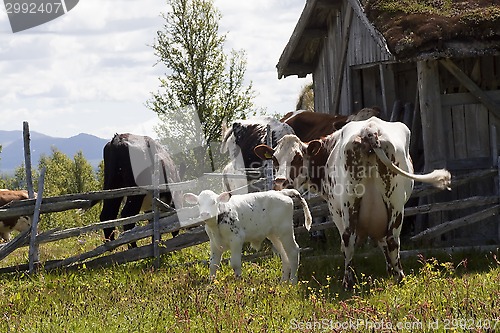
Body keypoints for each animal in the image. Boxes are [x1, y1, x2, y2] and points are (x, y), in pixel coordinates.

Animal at [184, 189, 312, 282]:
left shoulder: (237, 239)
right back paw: (283, 282)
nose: (204, 214)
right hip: (274, 234)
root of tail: (281, 192)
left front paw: (238, 282)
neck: (216, 225)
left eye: (213, 202)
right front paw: (211, 284)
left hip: (285, 230)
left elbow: (235, 263)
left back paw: (292, 282)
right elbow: (213, 264)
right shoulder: (214, 243)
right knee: (284, 254)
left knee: (293, 252)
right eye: (198, 203)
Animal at [256, 116, 452, 288]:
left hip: (351, 204)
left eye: (297, 158)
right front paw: (389, 269)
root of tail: (370, 130)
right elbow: (382, 241)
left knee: (349, 239)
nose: (280, 182)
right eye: (274, 159)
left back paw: (348, 282)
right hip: (394, 204)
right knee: (391, 240)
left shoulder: (335, 209)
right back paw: (398, 278)